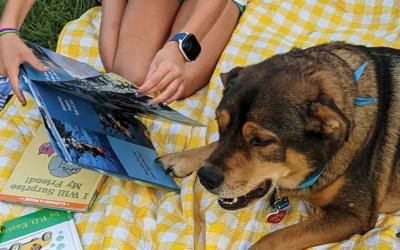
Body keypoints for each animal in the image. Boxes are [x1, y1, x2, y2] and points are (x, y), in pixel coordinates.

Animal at [159, 42, 400, 249]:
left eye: (261, 141)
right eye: (220, 124)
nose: (205, 178)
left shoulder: (352, 215)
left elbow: (273, 239)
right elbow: (214, 145)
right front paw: (182, 158)